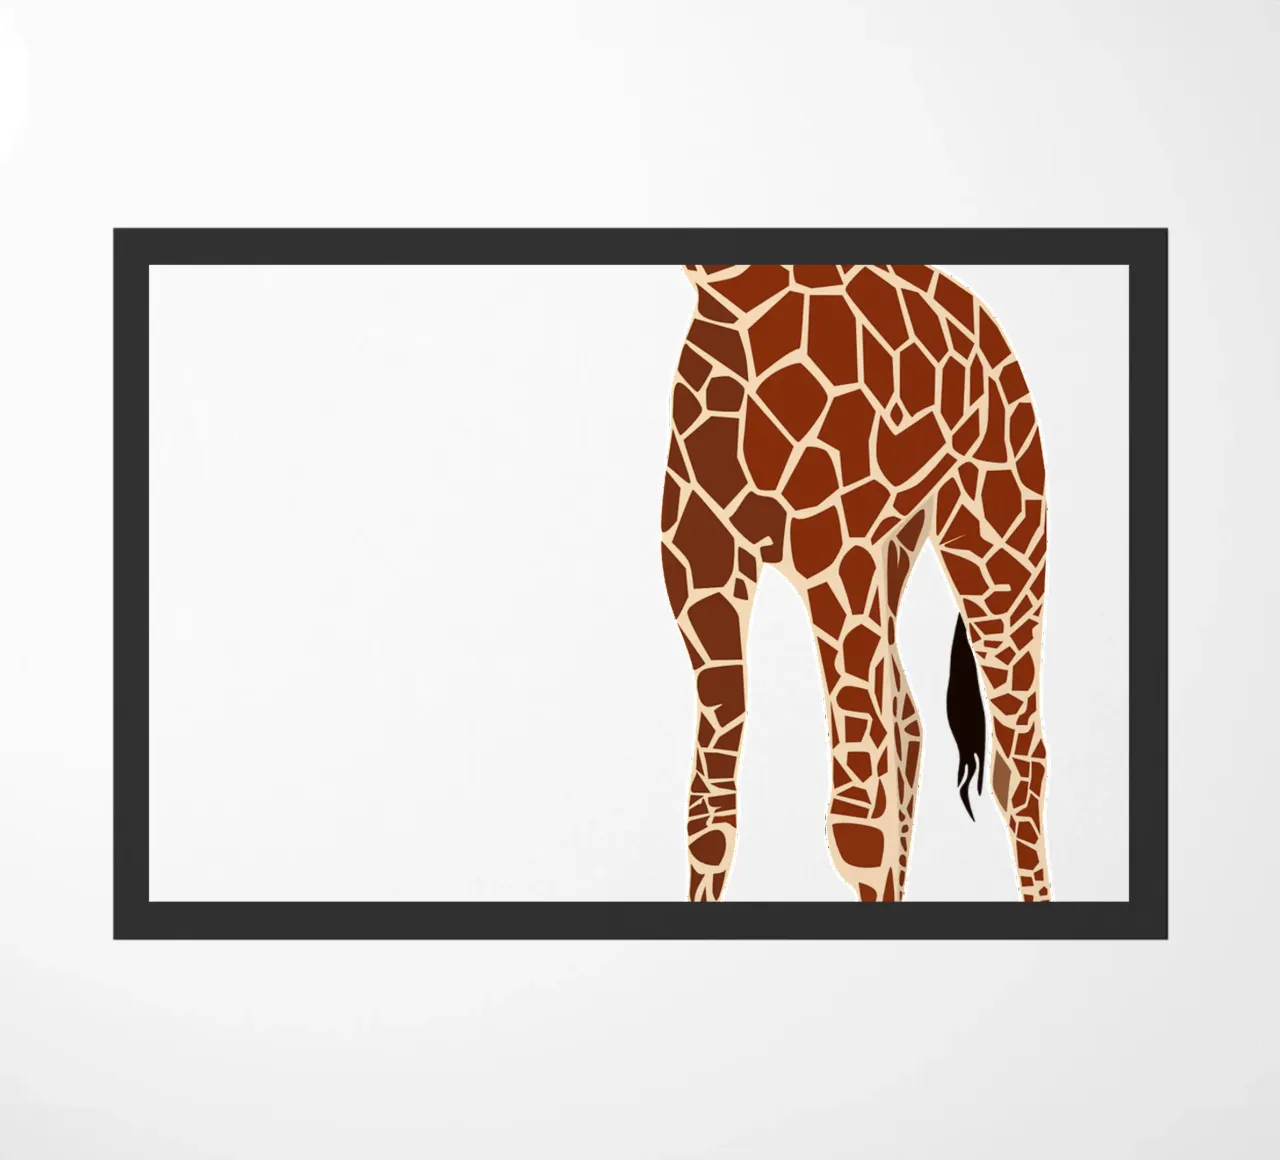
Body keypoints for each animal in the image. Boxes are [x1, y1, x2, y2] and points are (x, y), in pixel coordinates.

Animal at [660, 264, 1051, 903]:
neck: (732, 299)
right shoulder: (700, 566)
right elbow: (710, 812)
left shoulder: (834, 554)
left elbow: (857, 823)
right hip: (894, 547)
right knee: (908, 726)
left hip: (998, 538)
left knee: (1016, 764)